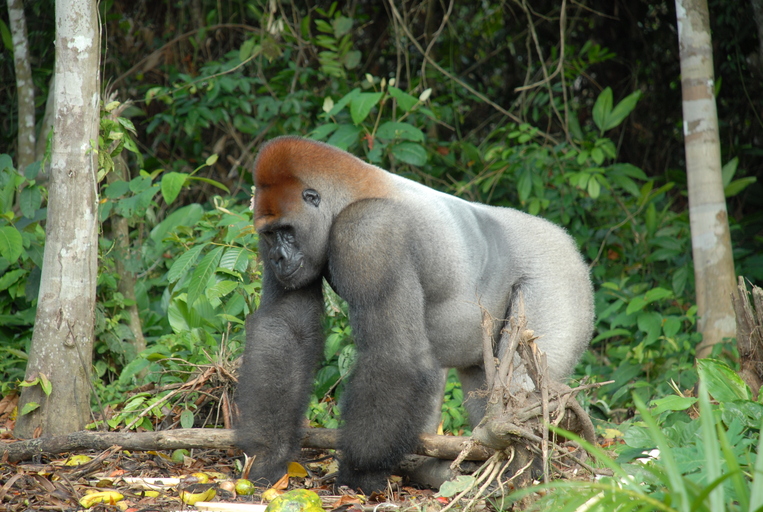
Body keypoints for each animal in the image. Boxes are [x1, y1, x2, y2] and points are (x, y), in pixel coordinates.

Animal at [236, 136, 592, 492]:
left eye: (287, 230)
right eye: (269, 234)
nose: (278, 258)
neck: (344, 199)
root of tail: (569, 243)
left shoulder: (368, 231)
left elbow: (396, 356)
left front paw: (360, 473)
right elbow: (286, 329)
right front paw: (268, 454)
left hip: (560, 278)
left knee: (520, 387)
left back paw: (522, 469)